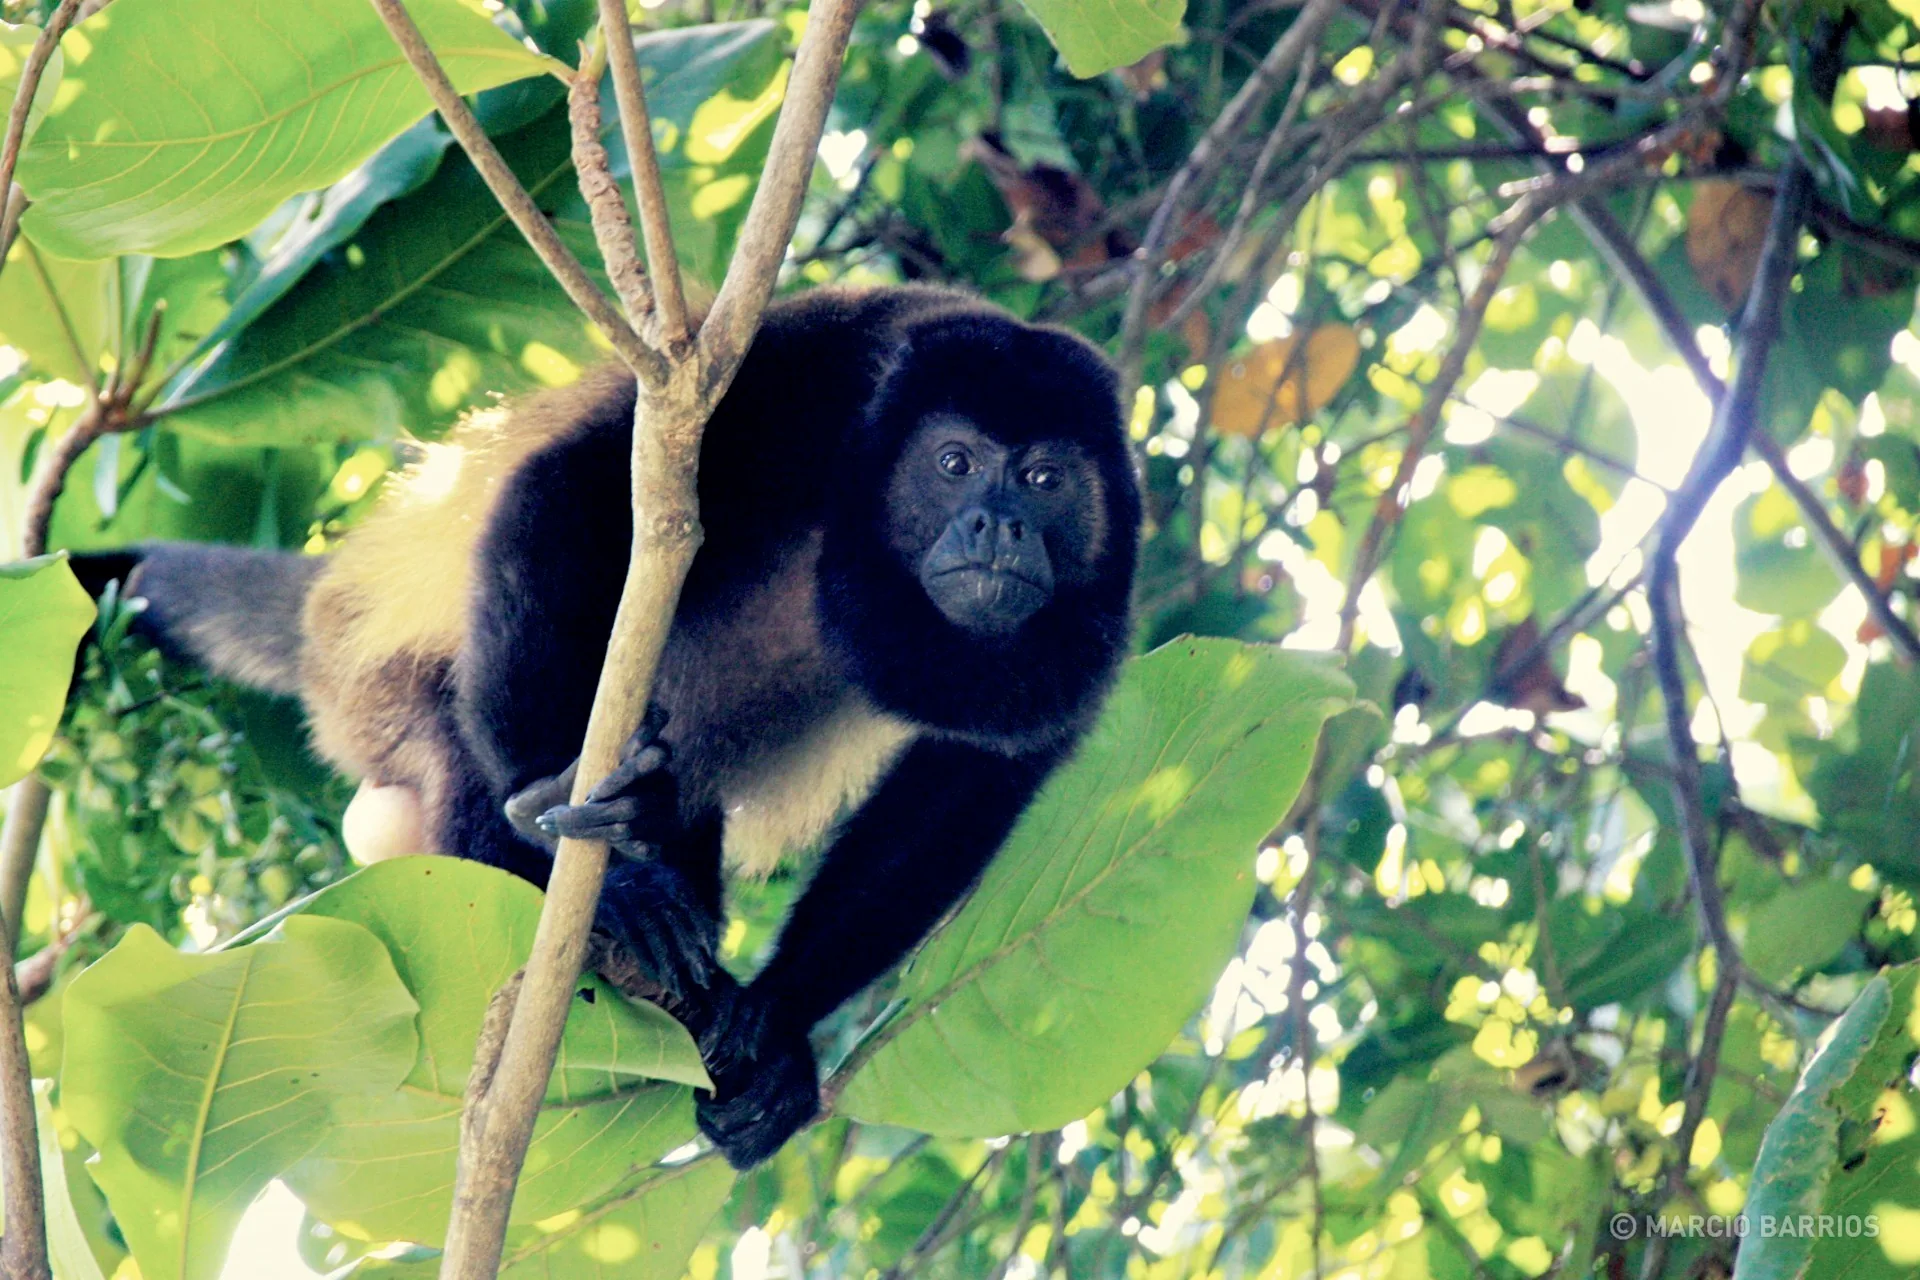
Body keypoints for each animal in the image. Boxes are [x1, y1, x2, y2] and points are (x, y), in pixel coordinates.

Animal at [70, 284, 1141, 1169]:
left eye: (1046, 480)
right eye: (955, 463)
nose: (998, 524)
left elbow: (968, 781)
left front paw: (775, 1032)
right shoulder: (810, 383)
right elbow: (575, 485)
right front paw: (598, 866)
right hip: (393, 698)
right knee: (472, 773)